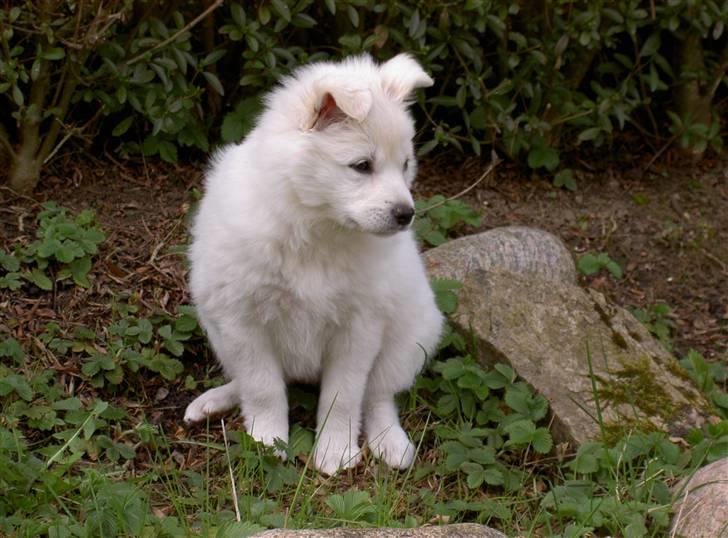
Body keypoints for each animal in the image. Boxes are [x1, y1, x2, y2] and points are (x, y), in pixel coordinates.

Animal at [182, 53, 444, 474]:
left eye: (405, 164)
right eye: (362, 166)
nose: (406, 215)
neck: (317, 228)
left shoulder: (359, 327)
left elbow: (344, 395)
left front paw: (335, 451)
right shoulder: (243, 319)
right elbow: (263, 387)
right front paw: (266, 442)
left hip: (409, 337)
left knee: (378, 397)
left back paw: (390, 443)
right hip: (218, 330)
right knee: (248, 380)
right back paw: (214, 401)